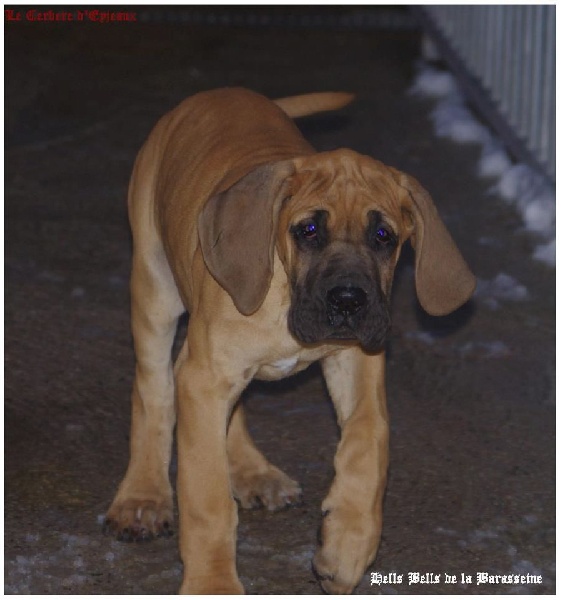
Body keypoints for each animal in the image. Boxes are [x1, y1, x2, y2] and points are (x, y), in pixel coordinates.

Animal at [104, 87, 476, 594]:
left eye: (384, 236)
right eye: (309, 230)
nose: (348, 300)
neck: (284, 295)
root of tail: (215, 93)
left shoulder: (355, 360)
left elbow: (369, 438)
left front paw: (347, 543)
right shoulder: (206, 376)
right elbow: (207, 497)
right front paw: (212, 583)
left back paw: (253, 472)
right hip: (154, 285)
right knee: (153, 388)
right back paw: (142, 496)